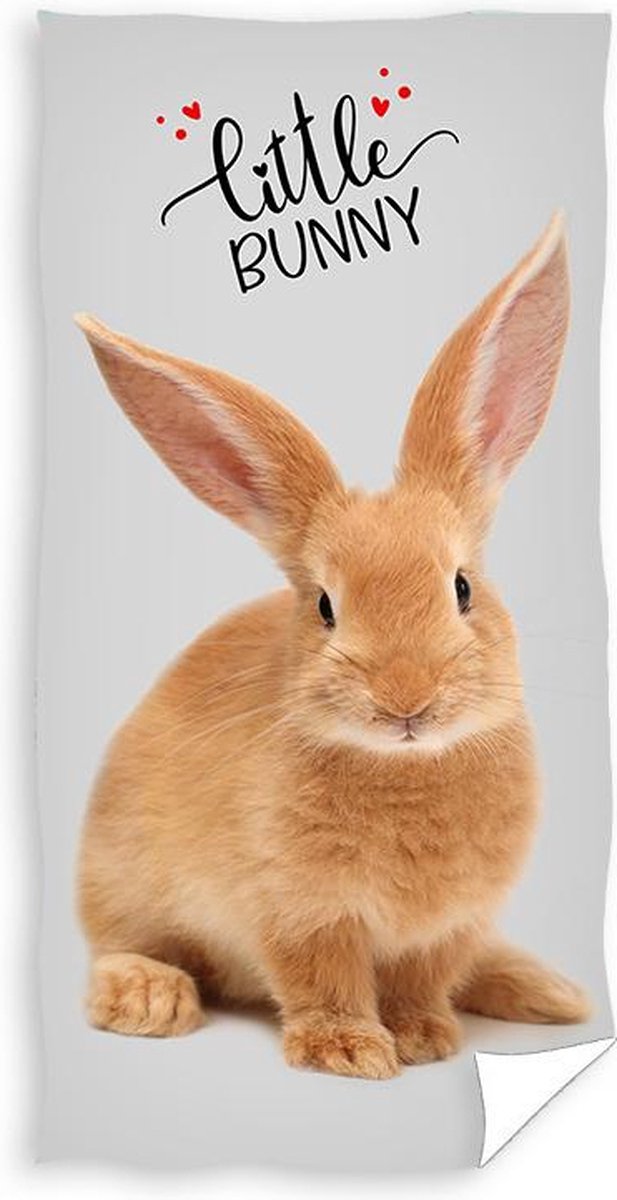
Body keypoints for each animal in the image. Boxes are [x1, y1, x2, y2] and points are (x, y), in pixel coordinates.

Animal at [75, 212, 590, 1080]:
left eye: (461, 587)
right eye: (324, 606)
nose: (405, 699)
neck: (406, 770)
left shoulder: (447, 927)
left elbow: (423, 979)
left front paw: (423, 1038)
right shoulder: (299, 913)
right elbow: (323, 979)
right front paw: (349, 1051)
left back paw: (549, 992)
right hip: (121, 878)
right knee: (121, 945)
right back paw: (149, 998)